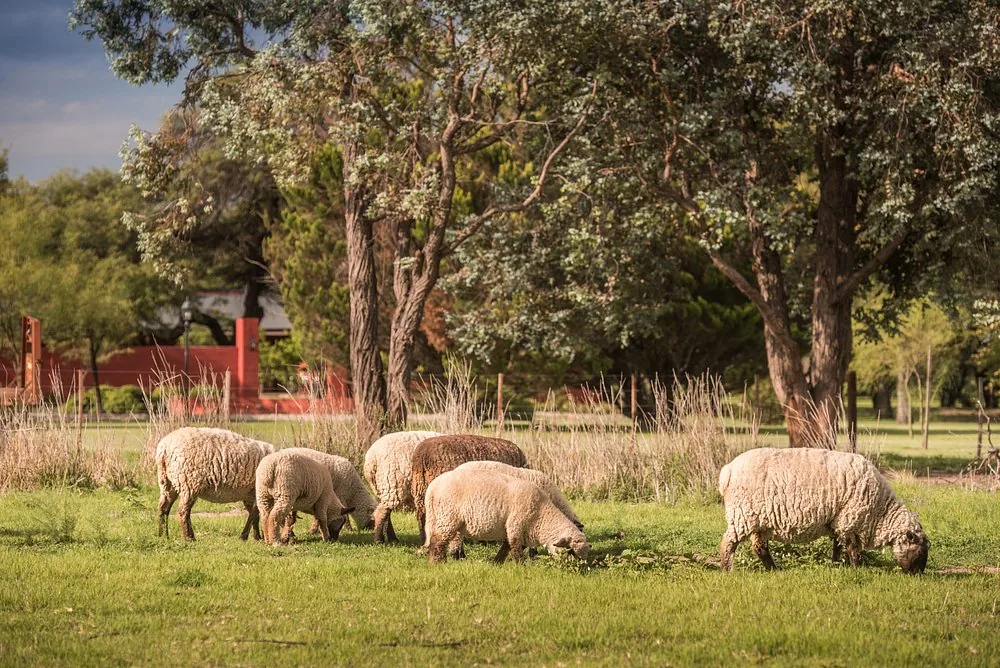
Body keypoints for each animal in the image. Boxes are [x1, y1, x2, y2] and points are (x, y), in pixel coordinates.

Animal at [423, 468, 590, 563]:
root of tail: (432, 487)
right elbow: (515, 547)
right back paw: (437, 562)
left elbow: (507, 546)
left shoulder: (518, 529)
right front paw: (521, 566)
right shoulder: (516, 524)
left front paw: (496, 562)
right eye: (571, 551)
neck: (542, 515)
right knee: (437, 541)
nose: (575, 568)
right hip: (447, 517)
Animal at [718, 448, 930, 574]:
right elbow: (852, 548)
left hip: (759, 520)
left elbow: (837, 545)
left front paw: (836, 564)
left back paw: (774, 569)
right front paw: (855, 568)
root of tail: (727, 470)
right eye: (919, 551)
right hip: (742, 515)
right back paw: (727, 570)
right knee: (728, 543)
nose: (918, 575)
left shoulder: (838, 520)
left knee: (759, 547)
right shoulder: (850, 519)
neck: (881, 511)